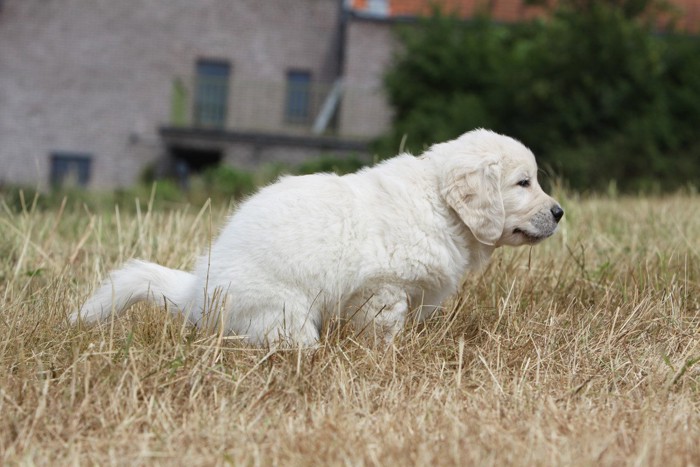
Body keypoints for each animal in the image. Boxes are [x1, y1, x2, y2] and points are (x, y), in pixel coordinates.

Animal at [72, 130, 564, 346]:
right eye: (523, 183)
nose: (560, 213)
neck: (440, 204)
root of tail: (195, 294)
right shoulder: (383, 289)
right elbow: (384, 331)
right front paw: (387, 360)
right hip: (284, 314)